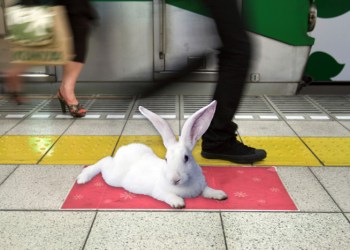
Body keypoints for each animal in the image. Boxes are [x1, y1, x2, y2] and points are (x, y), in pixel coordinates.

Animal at [77, 100, 227, 208]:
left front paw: (220, 195)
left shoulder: (202, 186)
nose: (174, 179)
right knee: (104, 161)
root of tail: (123, 149)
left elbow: (208, 190)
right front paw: (178, 203)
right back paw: (82, 178)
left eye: (186, 158)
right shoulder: (159, 192)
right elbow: (167, 196)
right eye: (166, 159)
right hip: (112, 177)